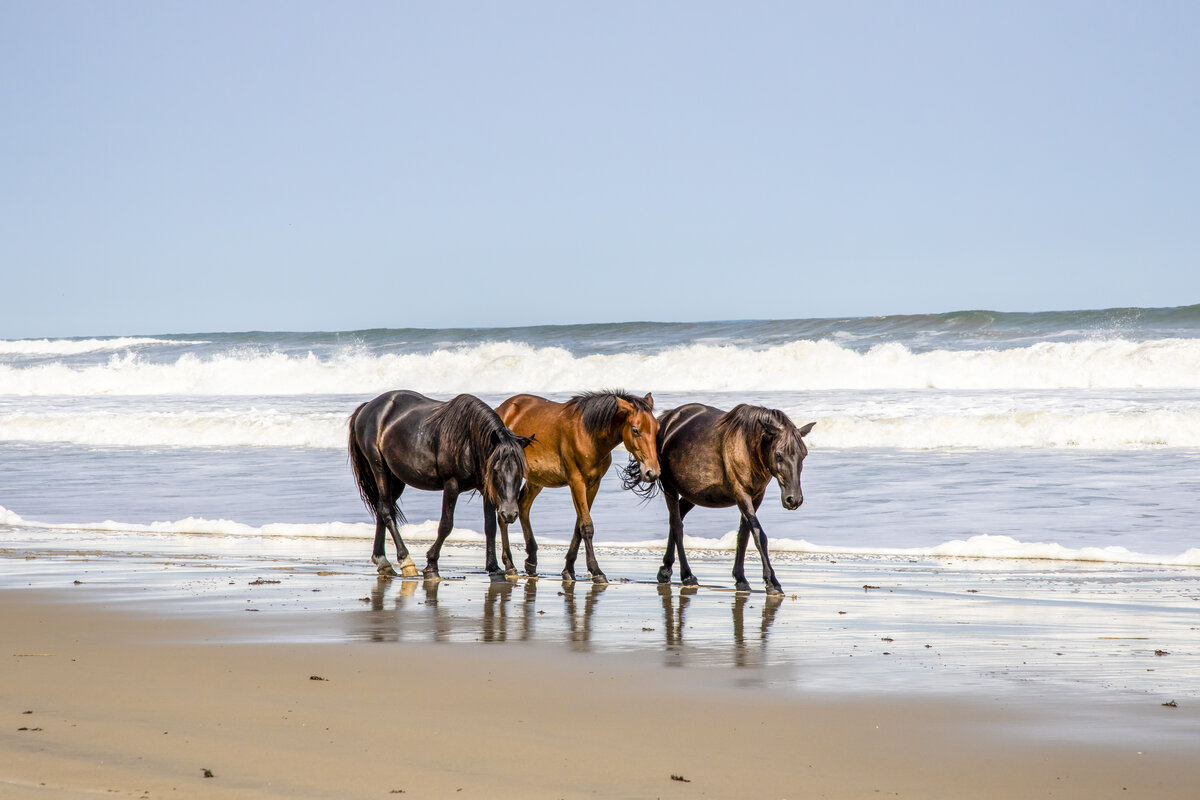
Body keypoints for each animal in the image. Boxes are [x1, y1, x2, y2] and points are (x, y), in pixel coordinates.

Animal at [348, 390, 533, 583]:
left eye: (521, 471)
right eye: (496, 469)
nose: (510, 514)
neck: (468, 440)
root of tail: (368, 407)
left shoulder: (486, 488)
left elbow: (490, 527)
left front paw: (494, 568)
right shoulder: (451, 484)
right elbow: (446, 524)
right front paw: (431, 565)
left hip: (396, 477)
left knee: (381, 508)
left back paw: (383, 561)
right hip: (379, 468)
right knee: (386, 511)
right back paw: (406, 561)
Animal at [495, 390, 661, 583]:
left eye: (657, 429)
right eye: (635, 430)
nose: (652, 472)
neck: (589, 434)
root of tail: (502, 409)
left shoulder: (593, 484)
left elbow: (579, 526)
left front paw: (569, 569)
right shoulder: (577, 482)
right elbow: (586, 526)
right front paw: (596, 571)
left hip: (536, 479)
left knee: (522, 507)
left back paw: (531, 561)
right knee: (502, 515)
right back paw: (509, 565)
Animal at [624, 403, 814, 596]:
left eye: (804, 455)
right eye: (778, 455)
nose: (794, 499)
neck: (747, 445)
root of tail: (667, 420)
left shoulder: (756, 496)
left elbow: (744, 535)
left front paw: (741, 578)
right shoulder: (741, 493)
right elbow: (758, 535)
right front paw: (772, 582)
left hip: (693, 494)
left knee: (676, 519)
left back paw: (665, 570)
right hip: (670, 487)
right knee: (677, 525)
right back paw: (687, 575)